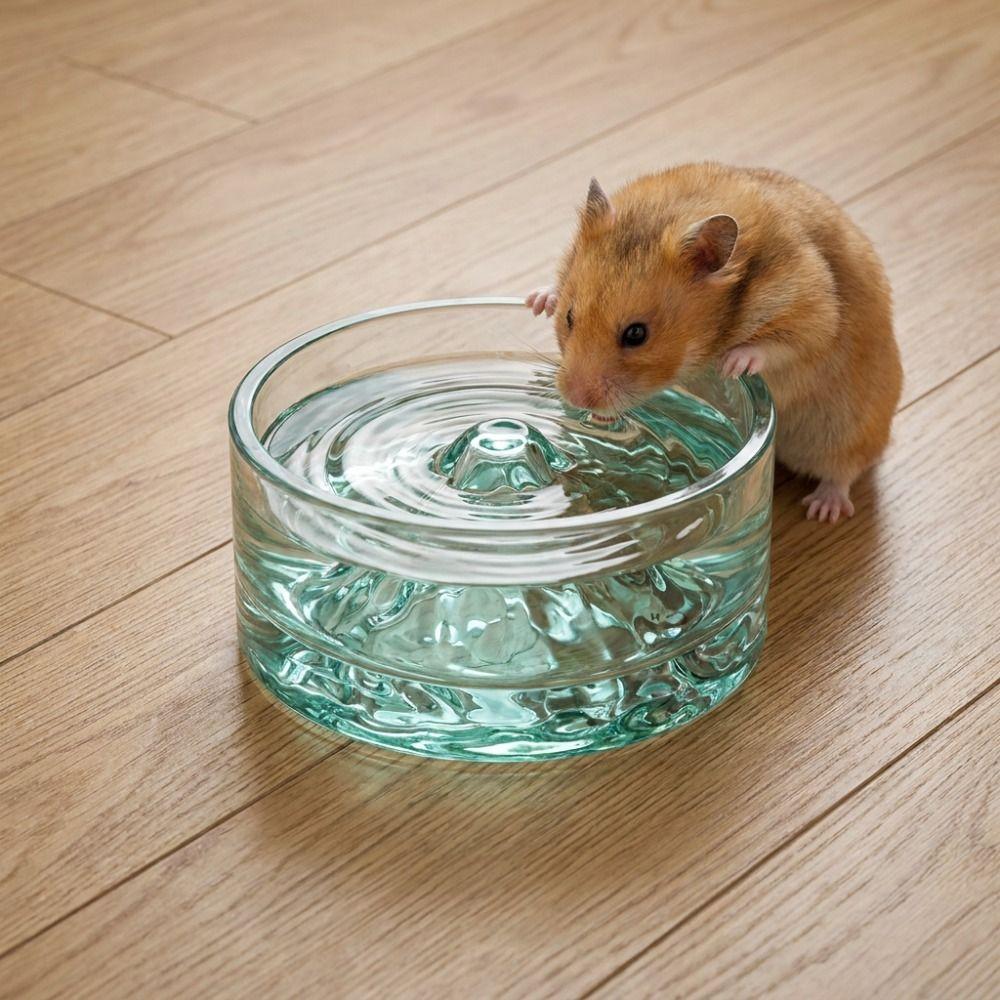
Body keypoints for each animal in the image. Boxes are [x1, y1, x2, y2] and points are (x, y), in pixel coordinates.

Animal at [526, 163, 903, 523]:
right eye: (569, 317)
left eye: (636, 334)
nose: (575, 398)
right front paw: (538, 301)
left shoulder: (811, 304)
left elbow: (785, 341)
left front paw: (731, 364)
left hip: (848, 431)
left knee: (845, 471)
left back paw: (824, 510)